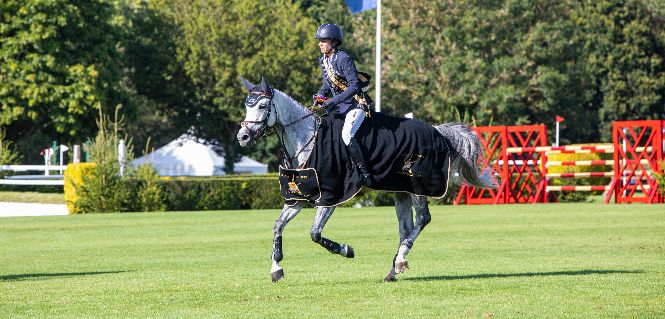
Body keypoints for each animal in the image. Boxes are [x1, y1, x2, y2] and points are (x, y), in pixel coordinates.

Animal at [236, 77, 496, 282]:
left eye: (262, 105)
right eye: (247, 106)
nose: (243, 136)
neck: (307, 140)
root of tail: (437, 131)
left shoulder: (330, 197)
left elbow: (315, 234)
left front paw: (346, 250)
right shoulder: (298, 198)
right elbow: (278, 226)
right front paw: (276, 270)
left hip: (417, 187)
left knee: (422, 219)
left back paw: (400, 261)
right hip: (400, 190)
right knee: (406, 226)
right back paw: (393, 270)